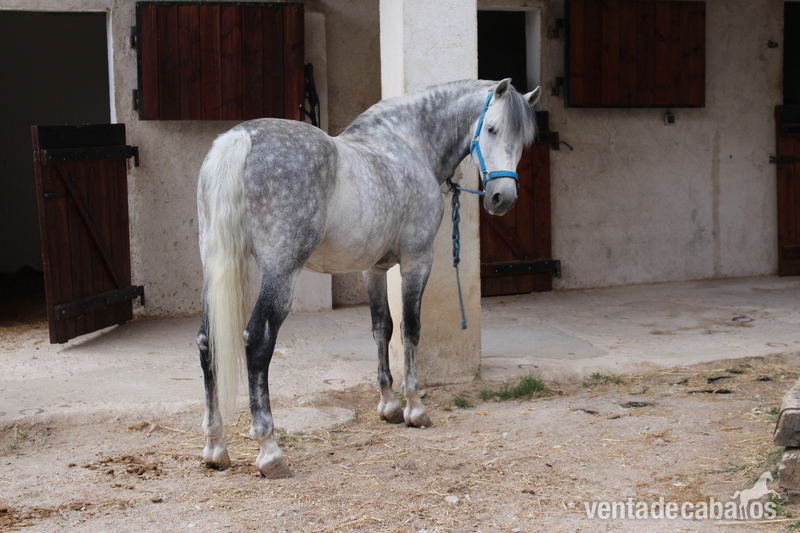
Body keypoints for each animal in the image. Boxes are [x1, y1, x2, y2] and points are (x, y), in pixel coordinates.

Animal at [196, 78, 541, 478]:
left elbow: (382, 328)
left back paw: (215, 447)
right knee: (256, 342)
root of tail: (239, 138)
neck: (409, 144)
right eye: (492, 129)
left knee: (207, 342)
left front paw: (389, 404)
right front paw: (414, 408)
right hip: (280, 275)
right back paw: (270, 450)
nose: (503, 198)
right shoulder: (416, 261)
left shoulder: (373, 268)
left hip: (216, 267)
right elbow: (410, 329)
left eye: (523, 140)